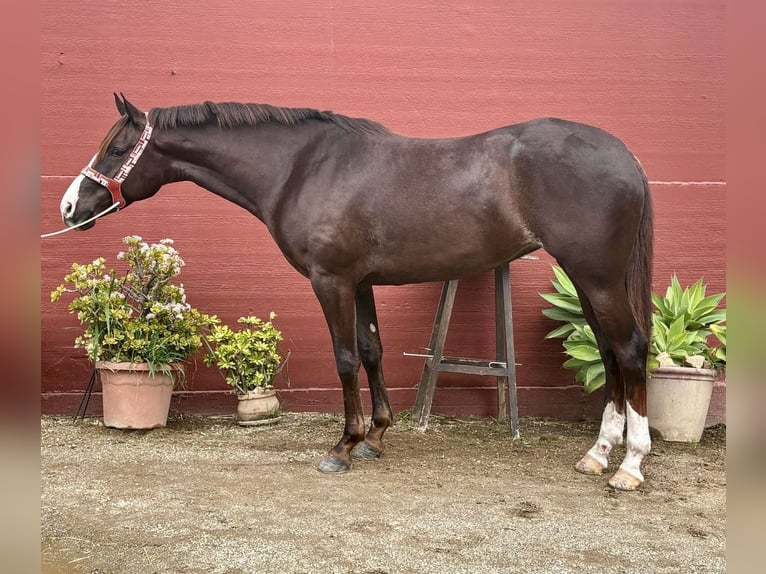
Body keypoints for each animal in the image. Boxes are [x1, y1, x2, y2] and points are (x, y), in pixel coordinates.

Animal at [58, 93, 653, 490]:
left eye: (116, 149)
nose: (68, 207)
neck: (302, 168)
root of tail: (624, 155)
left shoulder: (333, 280)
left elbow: (345, 357)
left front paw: (343, 446)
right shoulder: (361, 283)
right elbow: (371, 350)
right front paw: (377, 437)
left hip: (597, 277)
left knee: (629, 351)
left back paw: (629, 465)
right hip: (586, 280)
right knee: (607, 353)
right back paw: (597, 454)